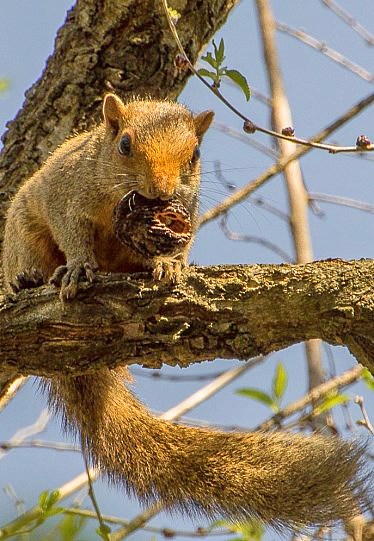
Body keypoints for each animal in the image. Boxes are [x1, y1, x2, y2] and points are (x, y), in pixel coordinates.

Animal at [1, 93, 370, 528]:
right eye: (124, 144)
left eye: (194, 154)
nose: (161, 192)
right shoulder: (68, 194)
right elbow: (73, 233)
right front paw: (77, 267)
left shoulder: (187, 214)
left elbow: (175, 247)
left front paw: (169, 265)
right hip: (23, 230)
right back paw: (28, 280)